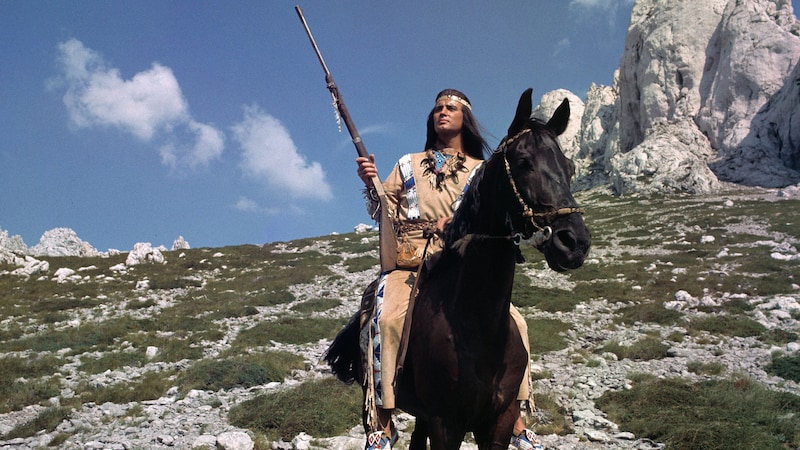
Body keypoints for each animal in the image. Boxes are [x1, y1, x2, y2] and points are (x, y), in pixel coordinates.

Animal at [326, 89, 592, 450]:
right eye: (523, 162)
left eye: (570, 166)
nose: (574, 242)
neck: (477, 327)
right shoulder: (446, 422)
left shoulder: (499, 420)